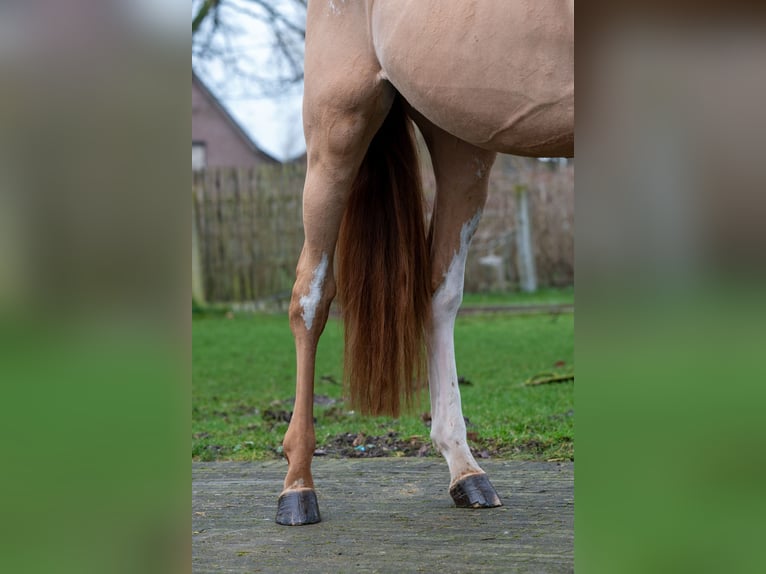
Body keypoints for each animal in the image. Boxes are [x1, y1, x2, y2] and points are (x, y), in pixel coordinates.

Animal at [276, 0, 568, 528]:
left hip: (462, 140)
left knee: (439, 294)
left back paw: (467, 473)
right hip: (337, 130)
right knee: (311, 297)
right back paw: (297, 489)